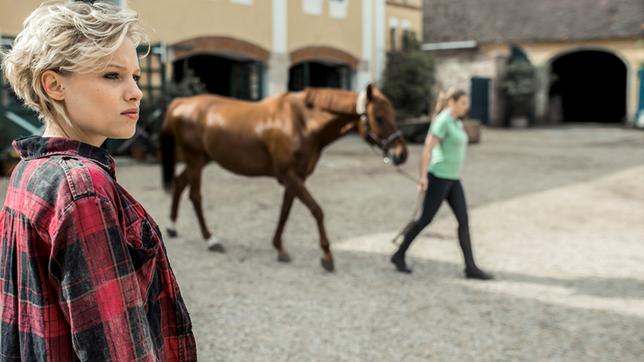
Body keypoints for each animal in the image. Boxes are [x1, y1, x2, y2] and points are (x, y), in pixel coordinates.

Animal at [160, 85, 408, 272]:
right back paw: (211, 239)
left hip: (202, 159)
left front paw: (279, 247)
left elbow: (285, 211)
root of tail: (180, 103)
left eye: (394, 115)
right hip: (194, 159)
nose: (401, 154)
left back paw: (172, 227)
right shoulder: (289, 175)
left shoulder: (296, 177)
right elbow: (316, 210)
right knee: (195, 196)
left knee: (179, 183)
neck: (303, 123)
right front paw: (327, 256)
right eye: (379, 118)